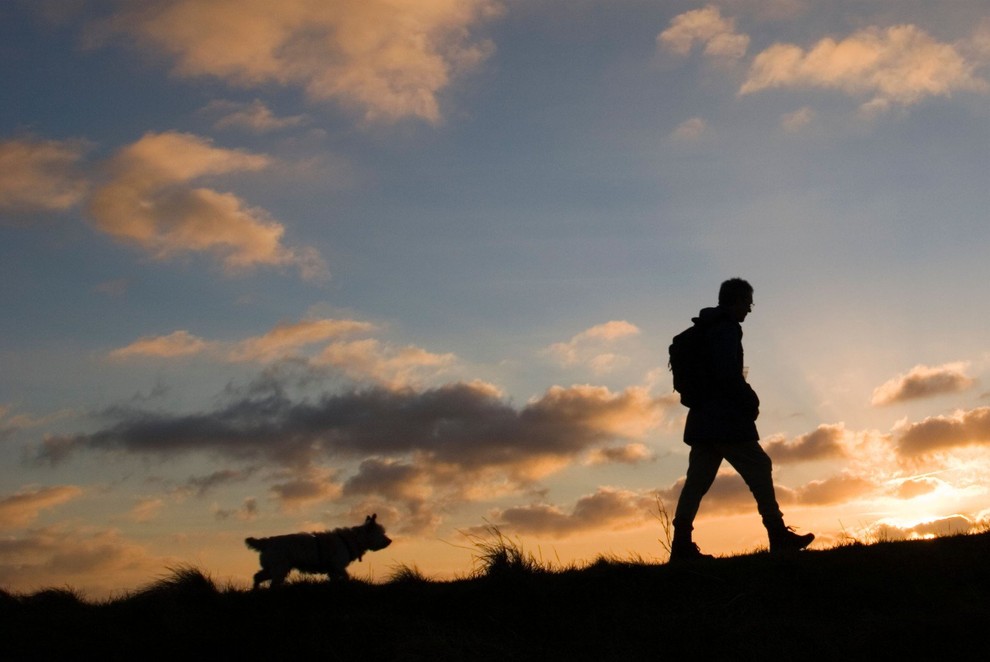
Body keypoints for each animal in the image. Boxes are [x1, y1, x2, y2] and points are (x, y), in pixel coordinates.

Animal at [244, 512, 392, 592]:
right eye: (381, 533)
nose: (390, 541)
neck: (353, 539)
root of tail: (267, 542)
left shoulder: (333, 571)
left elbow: (336, 581)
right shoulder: (337, 566)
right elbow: (347, 576)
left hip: (272, 568)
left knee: (257, 577)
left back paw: (255, 590)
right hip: (280, 569)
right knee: (272, 584)